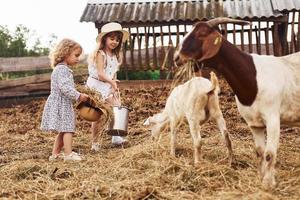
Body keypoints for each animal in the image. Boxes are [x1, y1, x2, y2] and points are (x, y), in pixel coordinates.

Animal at [175, 17, 300, 189]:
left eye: (202, 34)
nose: (176, 57)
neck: (253, 76)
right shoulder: (254, 123)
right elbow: (260, 152)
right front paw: (261, 178)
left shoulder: (273, 118)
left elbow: (269, 154)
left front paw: (268, 184)